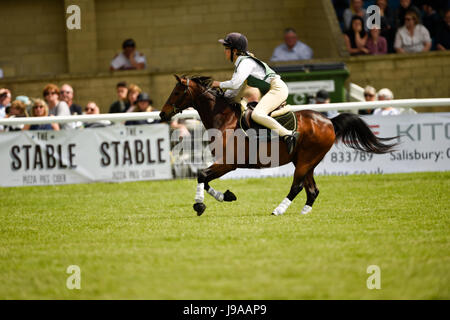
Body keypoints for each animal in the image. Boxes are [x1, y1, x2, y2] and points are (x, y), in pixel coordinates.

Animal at [159, 75, 398, 216]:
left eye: (177, 92)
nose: (162, 114)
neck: (225, 119)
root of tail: (329, 120)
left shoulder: (228, 163)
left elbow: (201, 175)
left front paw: (199, 205)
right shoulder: (223, 163)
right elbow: (205, 179)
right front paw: (226, 196)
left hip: (305, 161)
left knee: (298, 186)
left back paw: (278, 210)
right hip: (305, 161)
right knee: (312, 190)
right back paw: (303, 213)